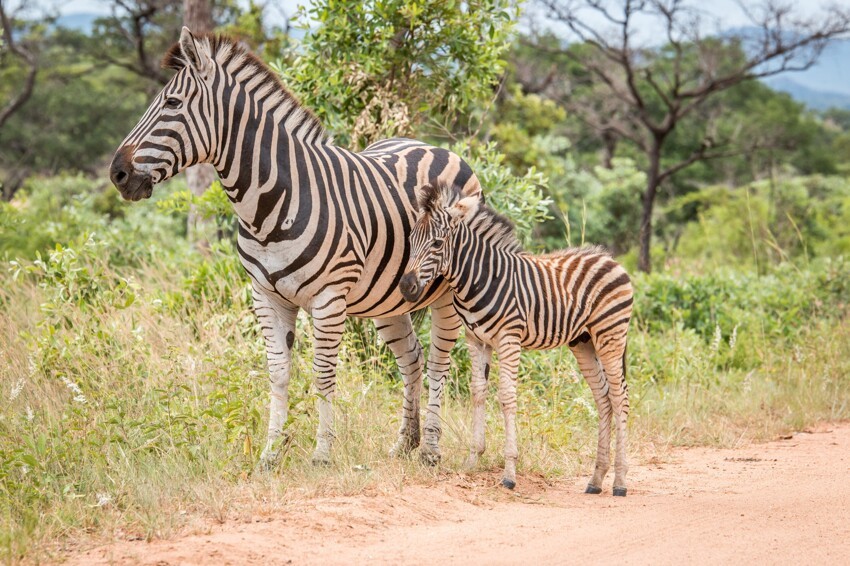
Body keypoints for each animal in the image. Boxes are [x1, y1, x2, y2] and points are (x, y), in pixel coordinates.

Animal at [109, 28, 476, 468]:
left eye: (173, 104)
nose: (117, 173)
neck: (268, 205)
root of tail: (434, 146)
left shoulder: (329, 298)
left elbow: (322, 374)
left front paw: (321, 454)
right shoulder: (266, 295)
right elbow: (278, 373)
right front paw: (269, 455)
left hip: (448, 293)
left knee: (439, 362)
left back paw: (431, 450)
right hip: (389, 298)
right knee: (412, 359)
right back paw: (405, 443)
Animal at [398, 183, 628, 496]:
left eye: (436, 243)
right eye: (410, 239)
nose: (406, 287)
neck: (480, 278)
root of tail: (609, 258)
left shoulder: (509, 338)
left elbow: (506, 396)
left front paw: (509, 474)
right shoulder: (476, 339)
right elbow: (478, 392)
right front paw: (473, 460)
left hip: (610, 336)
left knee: (619, 397)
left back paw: (620, 482)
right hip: (583, 342)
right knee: (603, 398)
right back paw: (595, 480)